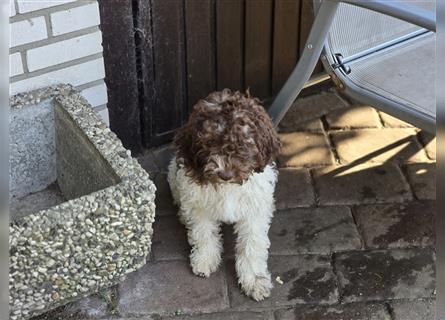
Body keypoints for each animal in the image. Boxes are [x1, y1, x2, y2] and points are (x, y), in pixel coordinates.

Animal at [168, 88, 280, 300]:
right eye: (210, 142)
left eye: (244, 143)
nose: (226, 174)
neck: (229, 187)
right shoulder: (198, 204)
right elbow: (203, 233)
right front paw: (204, 259)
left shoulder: (255, 209)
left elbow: (252, 244)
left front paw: (255, 279)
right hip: (174, 175)